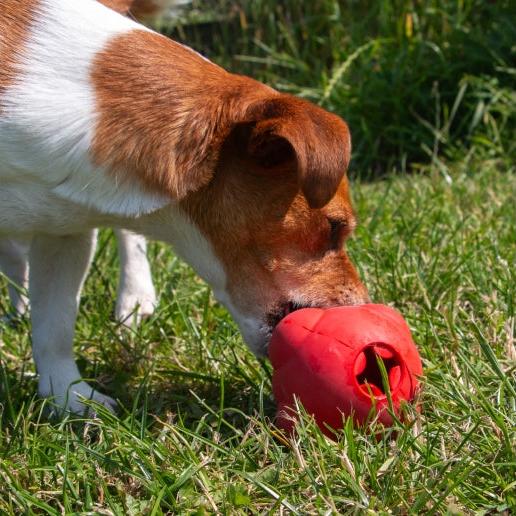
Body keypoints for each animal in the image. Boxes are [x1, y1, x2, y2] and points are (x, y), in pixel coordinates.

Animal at [1, 0, 370, 414]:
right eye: (336, 227)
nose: (365, 308)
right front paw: (70, 401)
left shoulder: (65, 233)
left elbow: (55, 323)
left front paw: (72, 401)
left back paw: (134, 296)